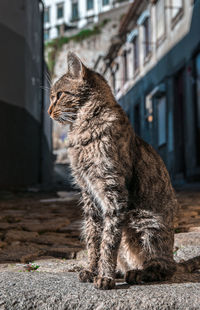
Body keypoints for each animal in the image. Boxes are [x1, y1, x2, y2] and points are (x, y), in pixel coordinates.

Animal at [48, 52, 200, 290]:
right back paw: (121, 271)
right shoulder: (89, 194)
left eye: (59, 95)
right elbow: (94, 238)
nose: (48, 111)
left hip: (147, 224)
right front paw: (92, 269)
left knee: (162, 267)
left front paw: (104, 276)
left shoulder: (113, 190)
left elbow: (109, 240)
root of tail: (174, 260)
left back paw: (139, 273)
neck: (81, 132)